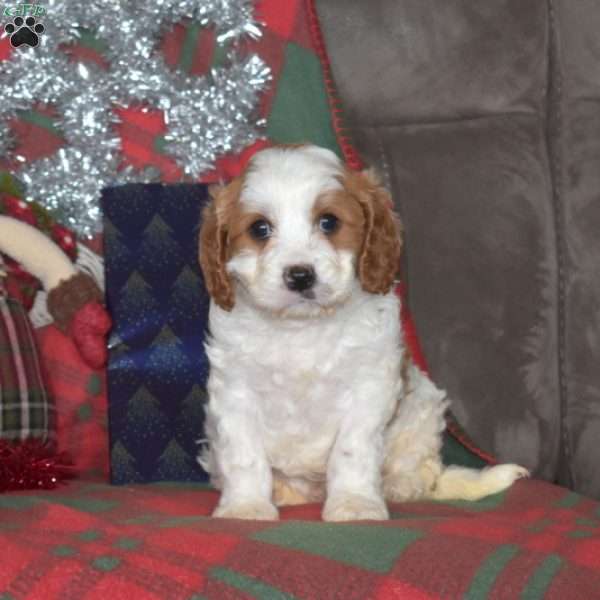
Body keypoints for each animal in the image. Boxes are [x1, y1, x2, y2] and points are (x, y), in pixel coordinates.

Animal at [199, 144, 528, 520]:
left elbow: (351, 451)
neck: (302, 326)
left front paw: (355, 504)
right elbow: (245, 456)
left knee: (421, 468)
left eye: (329, 222)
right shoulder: (235, 391)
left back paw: (401, 485)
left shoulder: (369, 387)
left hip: (422, 407)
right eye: (260, 229)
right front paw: (246, 507)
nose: (300, 276)